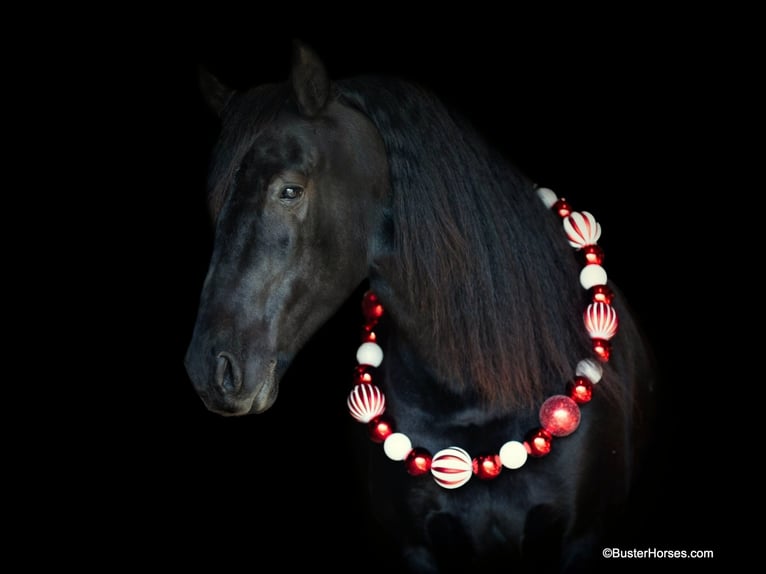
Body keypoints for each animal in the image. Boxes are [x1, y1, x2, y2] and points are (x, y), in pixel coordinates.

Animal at [188, 44, 660, 574]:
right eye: (216, 203)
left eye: (289, 190)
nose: (210, 369)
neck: (473, 395)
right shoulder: (416, 549)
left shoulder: (583, 538)